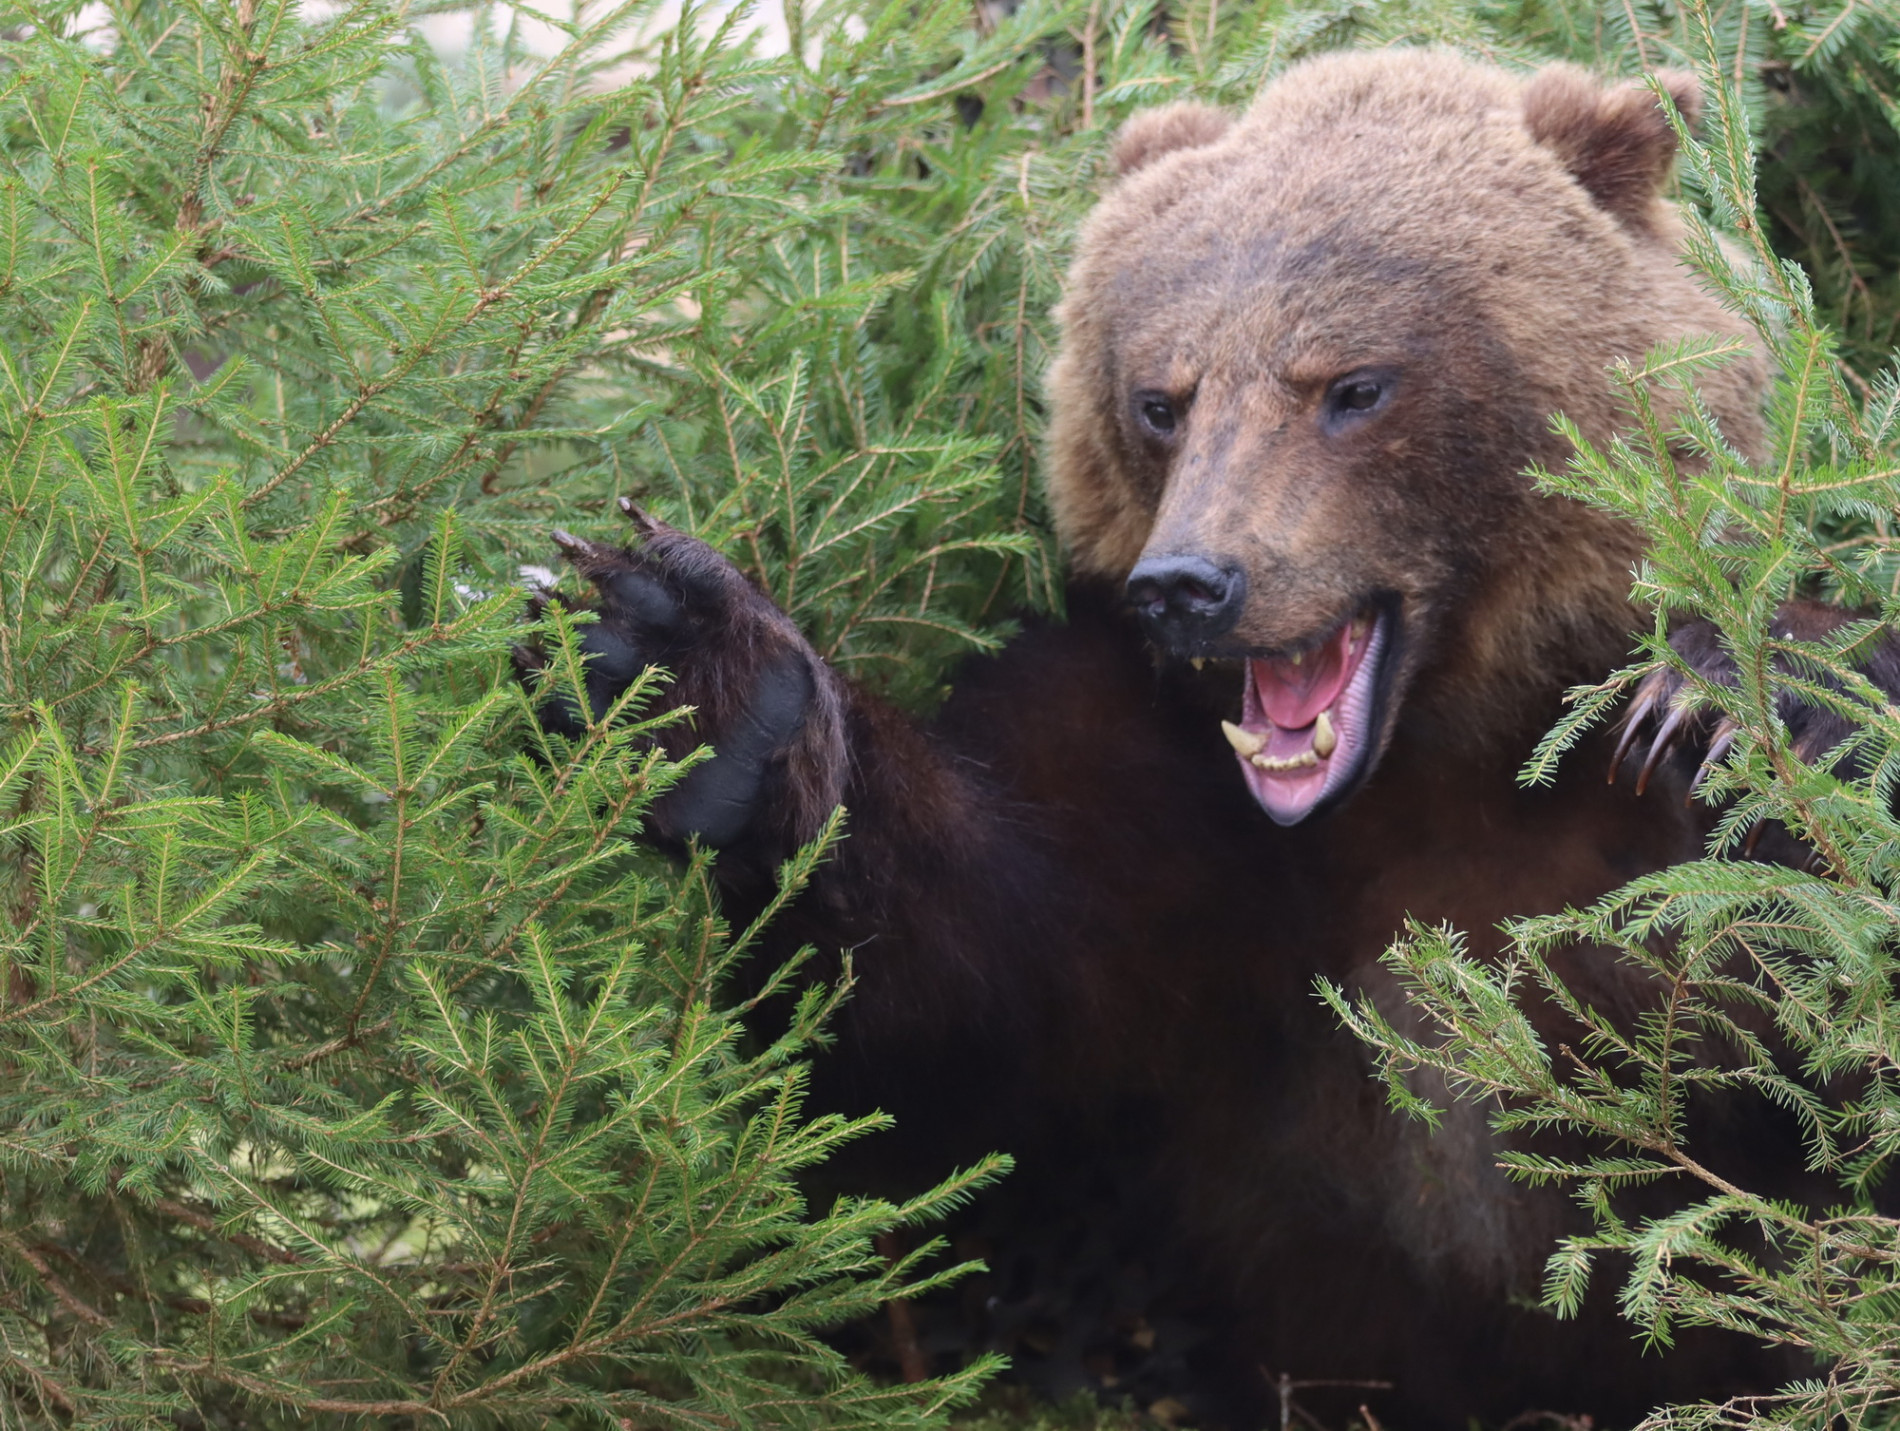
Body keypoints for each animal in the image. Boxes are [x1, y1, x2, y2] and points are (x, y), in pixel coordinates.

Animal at [528, 50, 1831, 1421]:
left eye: (1351, 385)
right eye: (1160, 398)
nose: (1189, 583)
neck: (1448, 756)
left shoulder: (1619, 868)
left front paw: (1723, 700)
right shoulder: (1172, 820)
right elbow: (941, 1015)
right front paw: (678, 669)